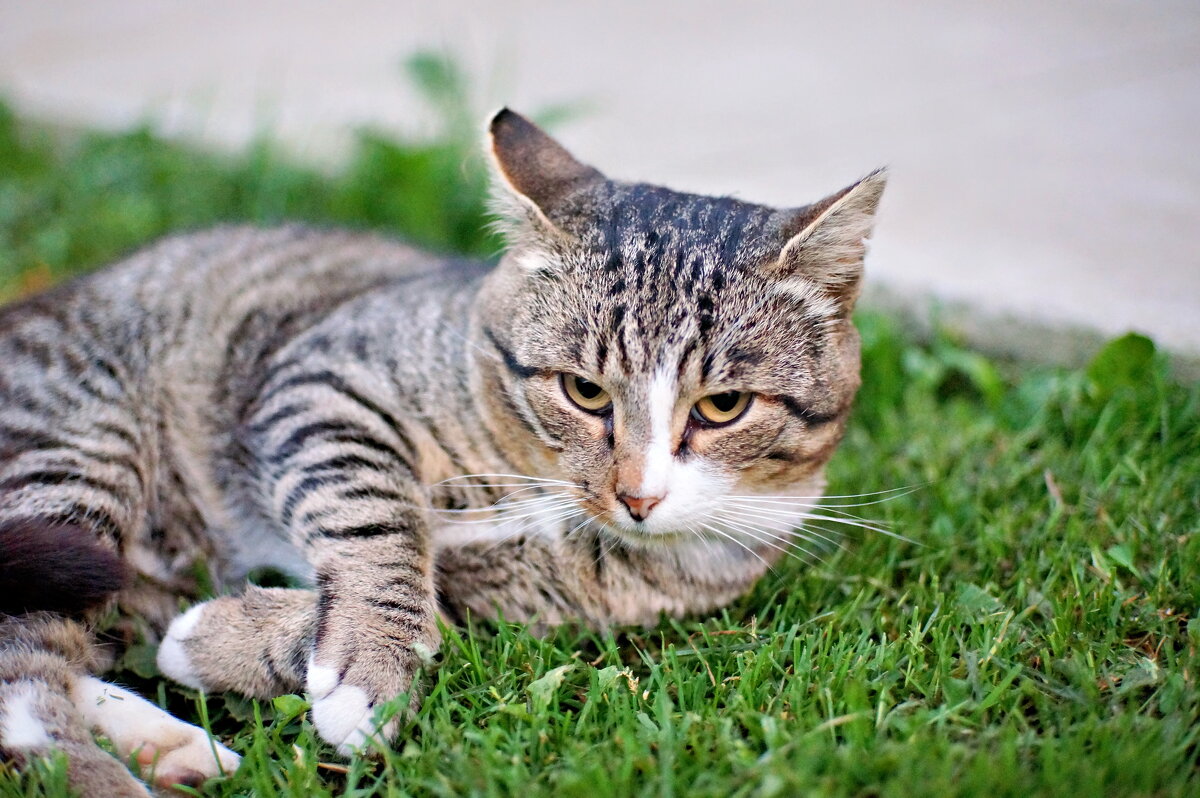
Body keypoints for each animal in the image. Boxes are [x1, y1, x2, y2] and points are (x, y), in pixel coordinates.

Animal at [0, 109, 883, 792]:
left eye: (723, 406)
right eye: (583, 391)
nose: (636, 496)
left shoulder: (563, 599)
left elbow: (447, 612)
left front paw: (227, 637)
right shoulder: (320, 378)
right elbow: (380, 520)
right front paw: (366, 664)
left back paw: (174, 744)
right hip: (75, 447)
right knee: (26, 673)